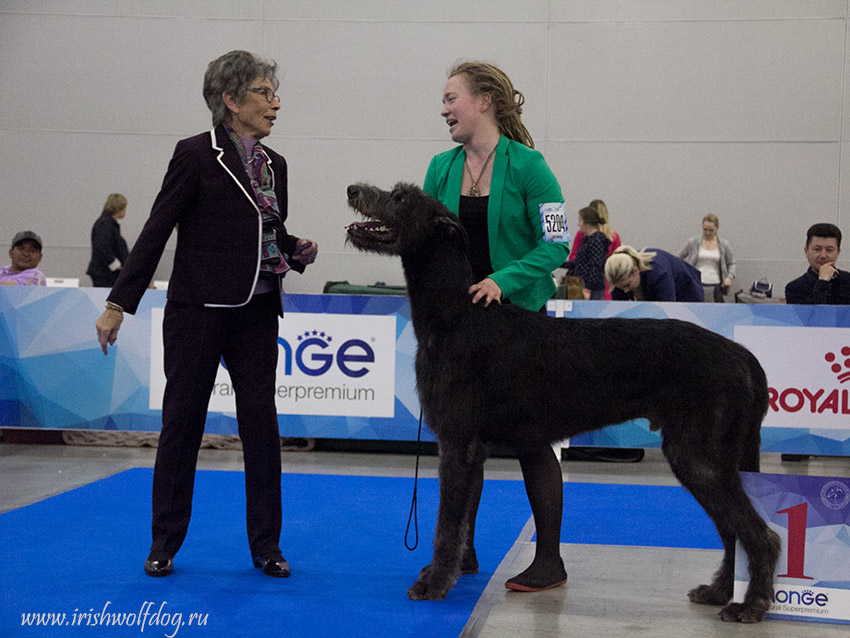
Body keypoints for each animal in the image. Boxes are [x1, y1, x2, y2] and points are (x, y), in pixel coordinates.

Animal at [342, 182, 776, 624]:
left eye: (402, 198)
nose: (353, 189)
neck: (456, 315)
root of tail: (744, 356)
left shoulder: (457, 442)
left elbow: (447, 525)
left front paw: (434, 584)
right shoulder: (470, 446)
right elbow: (460, 521)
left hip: (700, 455)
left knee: (761, 534)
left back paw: (751, 604)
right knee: (732, 530)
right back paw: (719, 591)